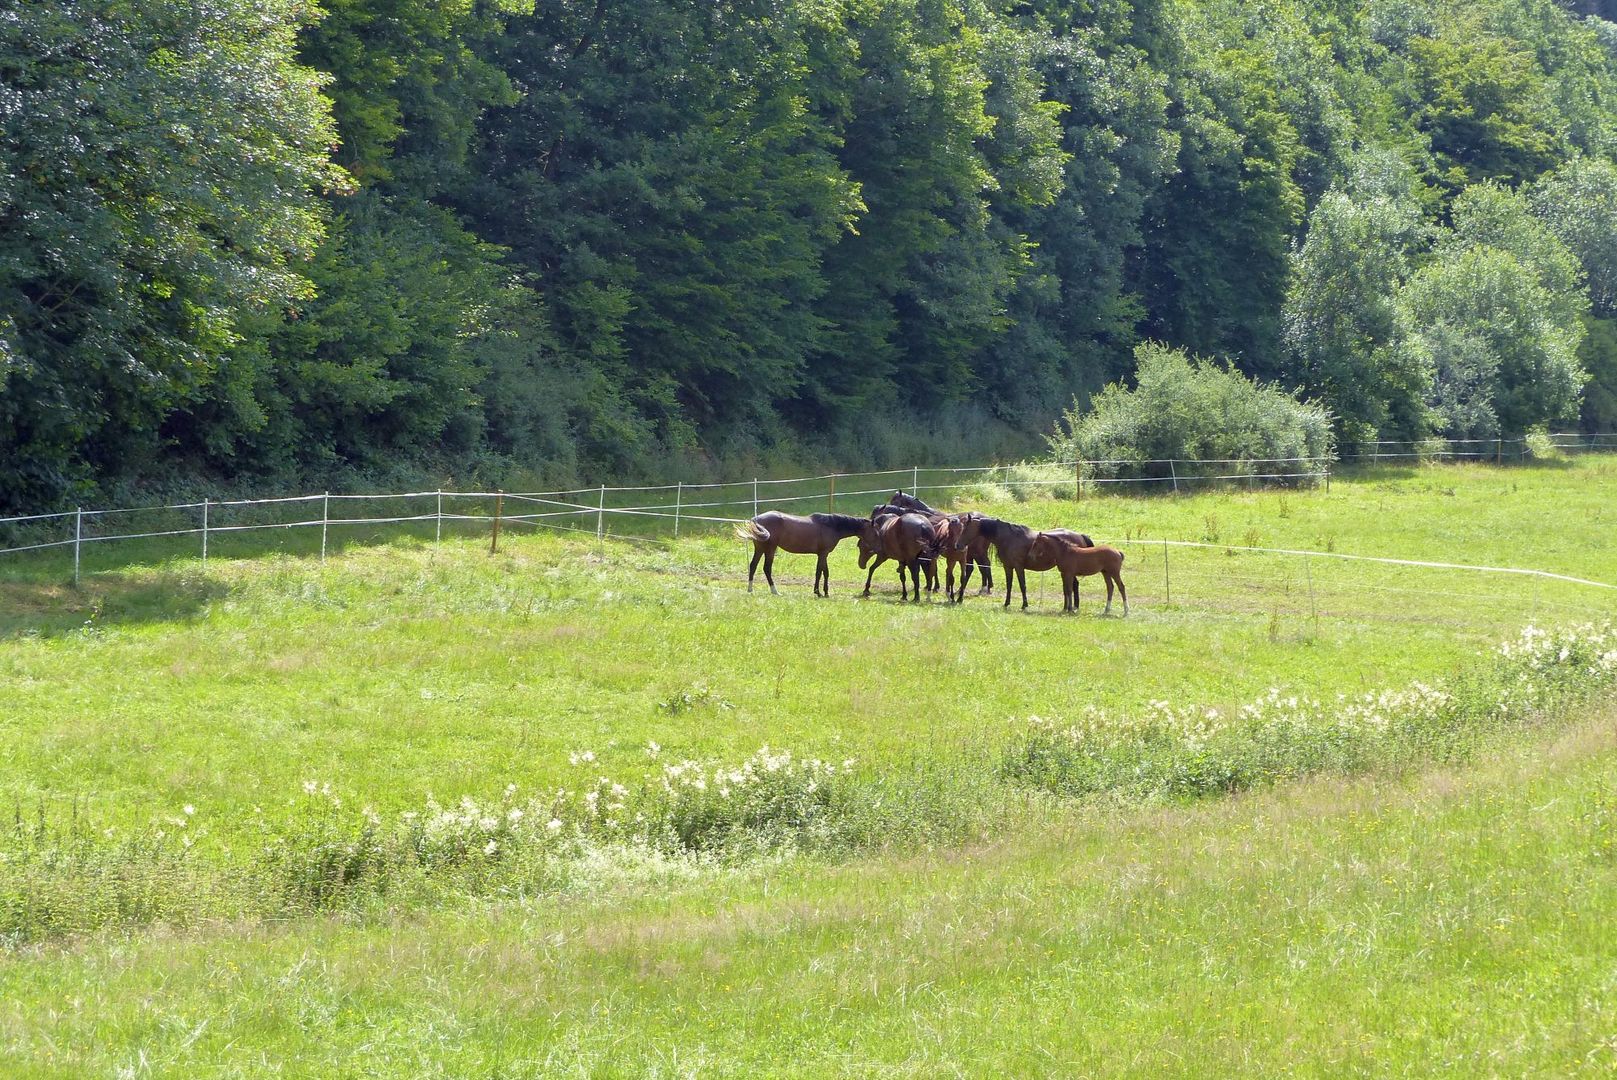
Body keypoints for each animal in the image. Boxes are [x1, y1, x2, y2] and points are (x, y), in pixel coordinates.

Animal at [734, 512, 867, 596]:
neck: (831, 525)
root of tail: (755, 520)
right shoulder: (823, 554)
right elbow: (819, 572)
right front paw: (818, 592)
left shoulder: (823, 554)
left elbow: (825, 572)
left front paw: (826, 592)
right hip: (770, 549)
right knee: (767, 568)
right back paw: (775, 591)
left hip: (760, 549)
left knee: (753, 566)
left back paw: (750, 590)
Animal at [955, 513, 1095, 609]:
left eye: (965, 529)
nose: (958, 545)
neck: (1009, 538)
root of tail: (1080, 535)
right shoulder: (1008, 567)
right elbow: (1009, 585)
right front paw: (1006, 603)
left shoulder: (1018, 567)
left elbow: (1022, 585)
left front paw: (1024, 605)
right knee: (1074, 584)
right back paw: (1075, 606)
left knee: (1074, 585)